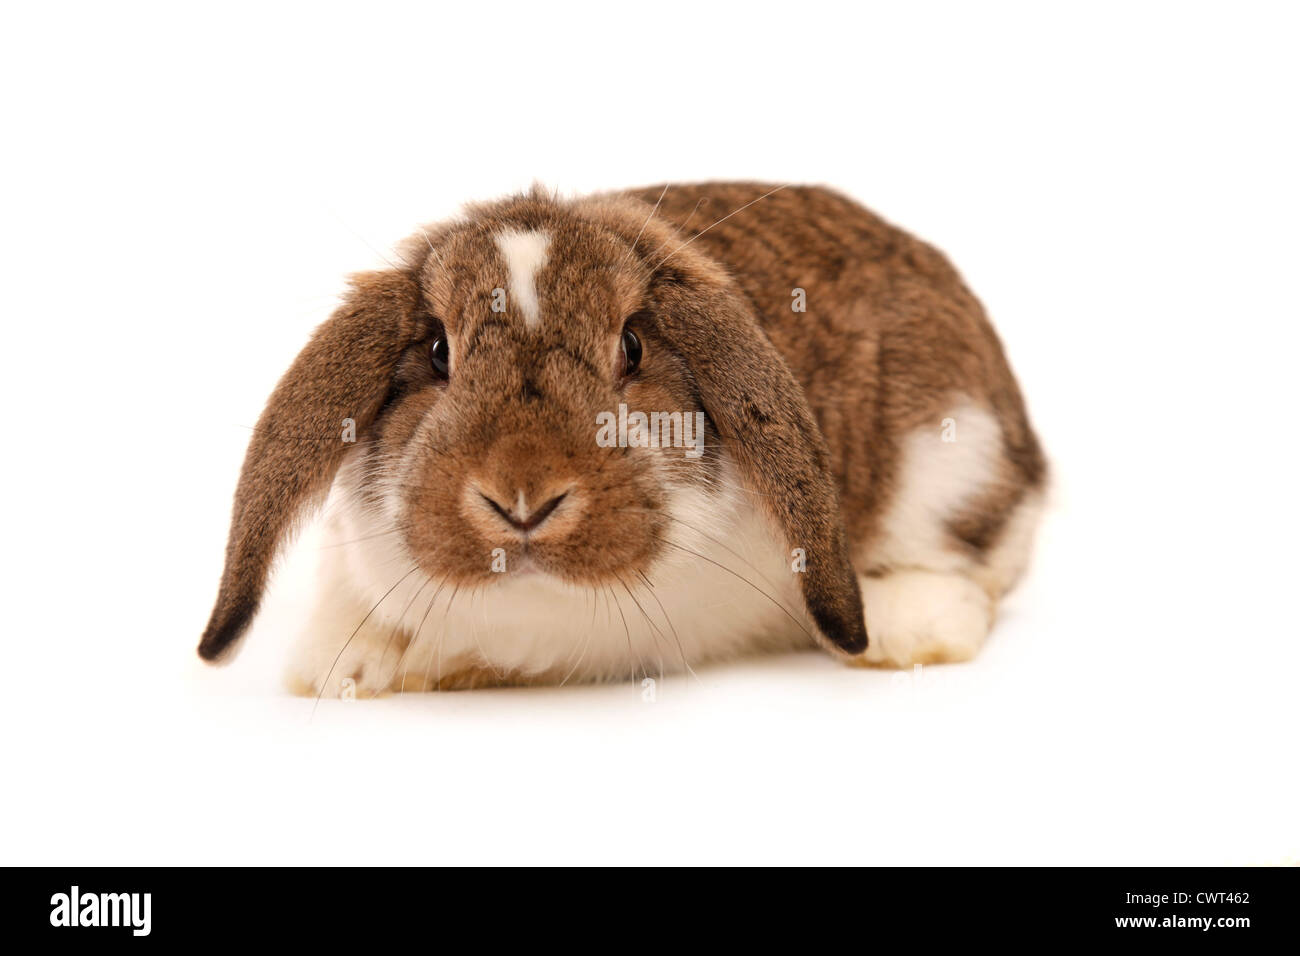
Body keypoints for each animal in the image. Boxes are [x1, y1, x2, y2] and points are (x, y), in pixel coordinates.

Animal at [198, 182, 1046, 696]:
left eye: (632, 345)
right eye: (438, 351)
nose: (523, 496)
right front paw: (351, 668)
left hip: (952, 461)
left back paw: (907, 629)